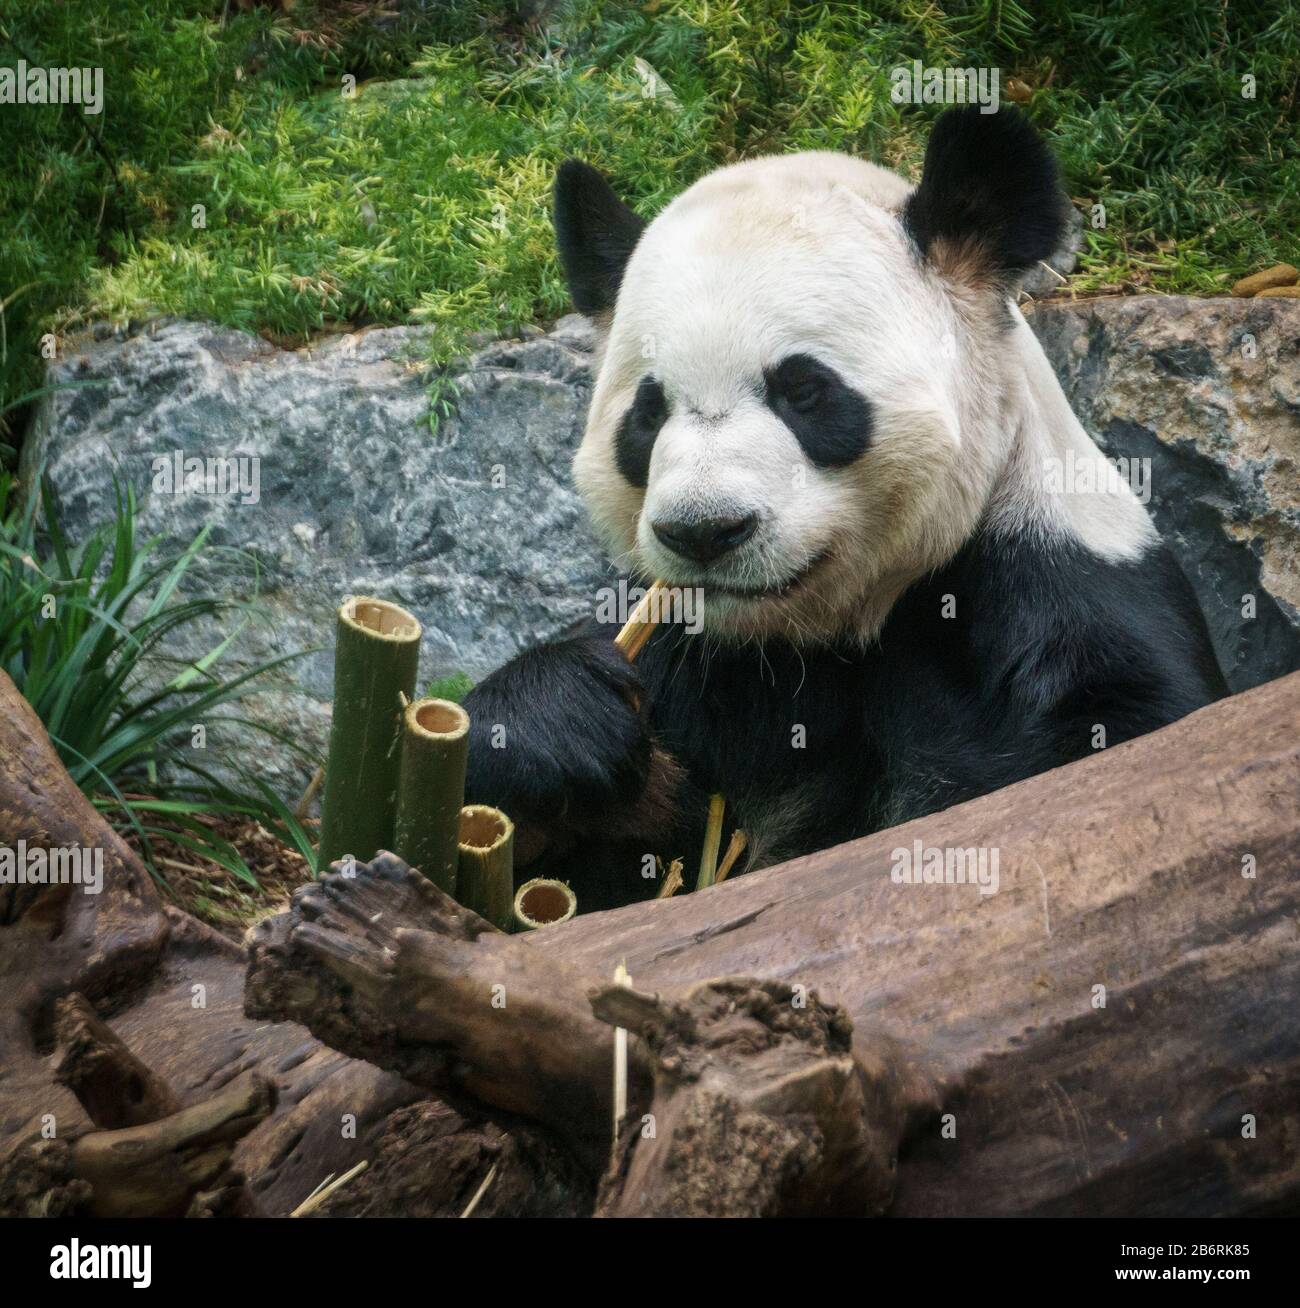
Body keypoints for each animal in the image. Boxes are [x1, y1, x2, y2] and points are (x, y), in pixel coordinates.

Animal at [463, 106, 1227, 912]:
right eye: (647, 412)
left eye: (803, 389)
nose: (705, 530)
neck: (830, 634)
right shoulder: (699, 666)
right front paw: (557, 725)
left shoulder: (1060, 591)